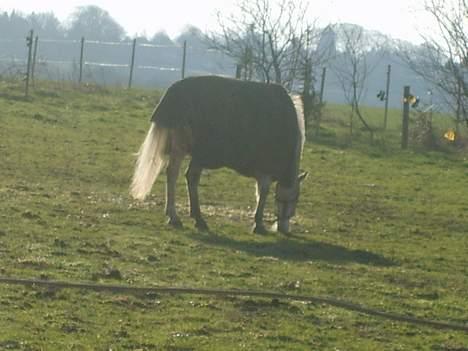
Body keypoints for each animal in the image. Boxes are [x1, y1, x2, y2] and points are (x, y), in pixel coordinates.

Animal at [131, 75, 308, 234]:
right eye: (293, 200)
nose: (284, 229)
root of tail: (172, 93)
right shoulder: (265, 169)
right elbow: (263, 193)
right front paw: (258, 224)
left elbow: (260, 193)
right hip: (184, 147)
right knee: (175, 174)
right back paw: (176, 216)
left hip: (195, 152)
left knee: (189, 177)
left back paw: (195, 217)